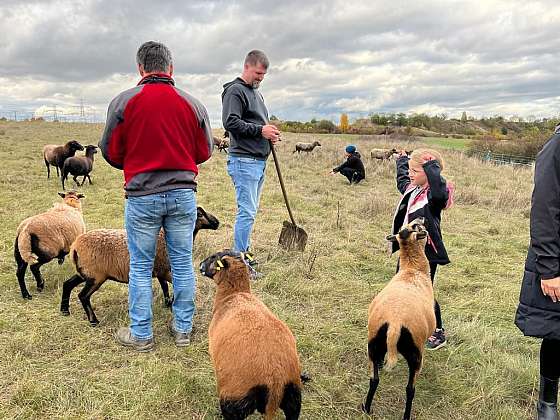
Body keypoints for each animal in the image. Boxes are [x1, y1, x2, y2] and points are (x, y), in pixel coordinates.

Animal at [60, 207, 220, 324]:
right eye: (200, 214)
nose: (217, 222)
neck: (164, 236)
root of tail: (75, 247)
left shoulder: (160, 270)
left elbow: (166, 287)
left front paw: (168, 303)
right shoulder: (163, 270)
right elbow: (172, 285)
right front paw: (172, 303)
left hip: (85, 272)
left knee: (67, 284)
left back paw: (64, 310)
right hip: (96, 276)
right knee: (83, 296)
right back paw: (93, 320)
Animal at [200, 249, 304, 420]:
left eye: (214, 257)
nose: (200, 265)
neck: (235, 294)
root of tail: (276, 377)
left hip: (234, 398)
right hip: (293, 395)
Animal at [360, 218, 436, 420]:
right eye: (415, 226)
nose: (422, 219)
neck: (412, 269)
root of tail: (395, 323)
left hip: (373, 345)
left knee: (373, 379)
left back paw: (366, 408)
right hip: (416, 355)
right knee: (410, 389)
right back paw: (406, 415)